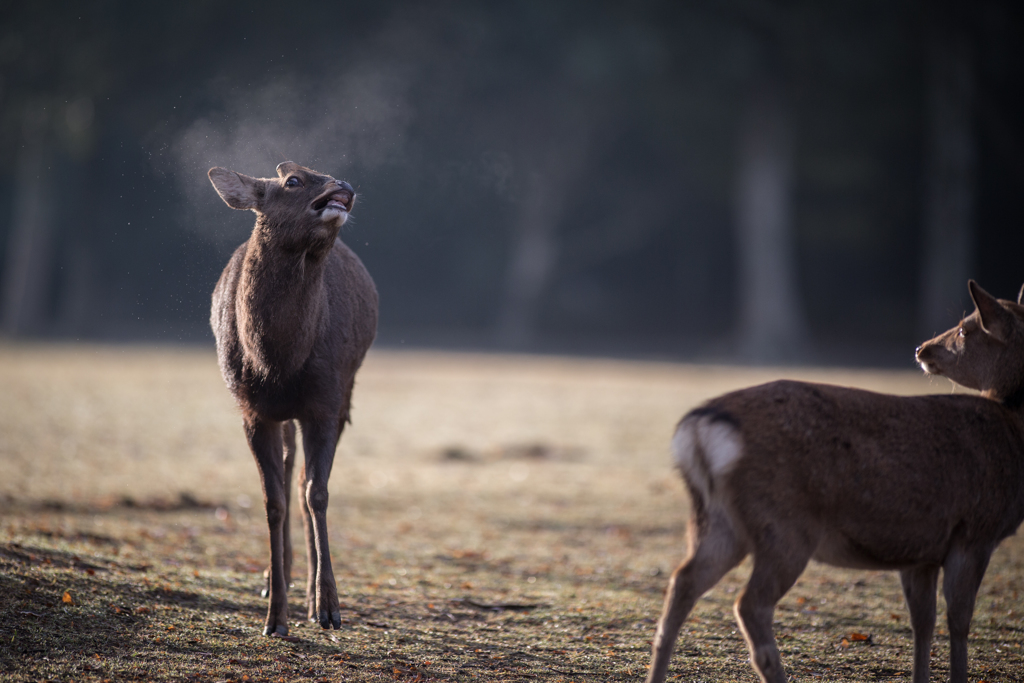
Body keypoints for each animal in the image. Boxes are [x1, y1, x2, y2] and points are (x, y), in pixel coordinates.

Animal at [205, 160, 378, 634]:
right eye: (293, 180)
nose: (345, 186)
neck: (276, 362)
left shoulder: (325, 401)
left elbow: (316, 494)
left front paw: (329, 607)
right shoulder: (252, 410)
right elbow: (272, 501)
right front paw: (274, 618)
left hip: (345, 392)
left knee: (303, 483)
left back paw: (313, 600)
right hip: (283, 415)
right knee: (287, 472)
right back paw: (275, 580)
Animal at [647, 280, 1024, 679]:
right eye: (968, 326)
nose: (922, 349)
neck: (1014, 434)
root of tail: (698, 429)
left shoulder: (921, 550)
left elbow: (922, 623)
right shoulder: (976, 532)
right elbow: (958, 620)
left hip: (719, 522)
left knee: (683, 581)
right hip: (786, 524)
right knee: (749, 603)